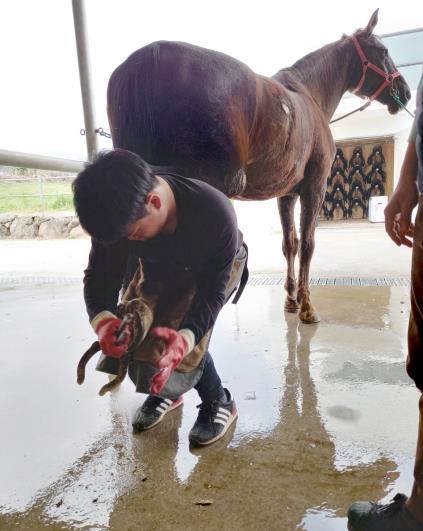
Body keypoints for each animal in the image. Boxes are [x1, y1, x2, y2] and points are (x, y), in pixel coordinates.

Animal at [107, 9, 410, 324]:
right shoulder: (315, 188)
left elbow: (290, 243)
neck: (308, 94)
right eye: (384, 51)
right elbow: (308, 244)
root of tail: (149, 57)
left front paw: (291, 300)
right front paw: (306, 306)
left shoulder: (286, 194)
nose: (405, 92)